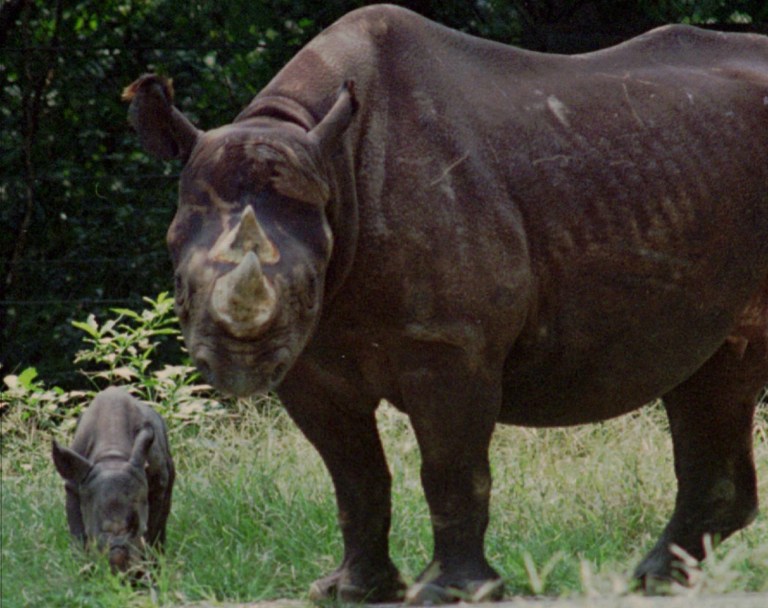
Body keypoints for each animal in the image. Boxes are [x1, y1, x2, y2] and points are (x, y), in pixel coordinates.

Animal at [52, 387, 174, 573]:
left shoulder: (158, 484)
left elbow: (153, 530)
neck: (112, 457)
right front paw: (86, 571)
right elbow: (78, 537)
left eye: (142, 529)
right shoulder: (74, 486)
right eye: (92, 534)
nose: (119, 568)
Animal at [123, 4, 767, 603]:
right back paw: (652, 579)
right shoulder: (308, 363)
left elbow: (451, 468)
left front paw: (451, 592)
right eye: (178, 283)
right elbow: (354, 475)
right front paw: (351, 590)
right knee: (714, 371)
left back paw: (648, 578)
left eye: (307, 286)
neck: (324, 160)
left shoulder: (450, 343)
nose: (238, 366)